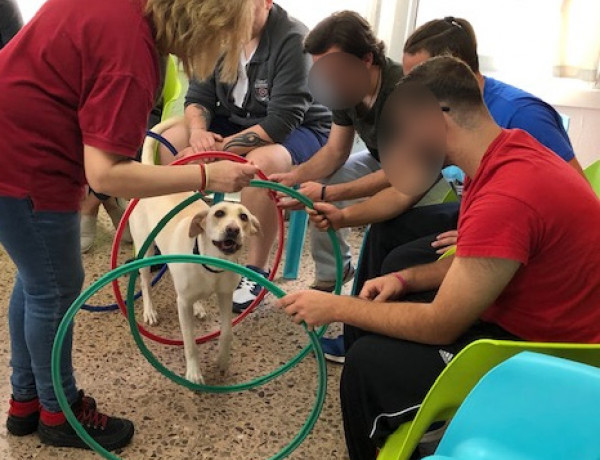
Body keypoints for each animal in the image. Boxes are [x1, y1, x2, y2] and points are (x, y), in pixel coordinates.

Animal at [130, 118, 258, 384]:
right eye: (218, 213)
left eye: (243, 217)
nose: (233, 230)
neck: (212, 264)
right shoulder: (183, 306)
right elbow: (189, 343)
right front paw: (194, 373)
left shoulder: (224, 296)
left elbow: (227, 333)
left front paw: (222, 361)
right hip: (145, 251)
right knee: (145, 283)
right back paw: (149, 311)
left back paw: (199, 307)